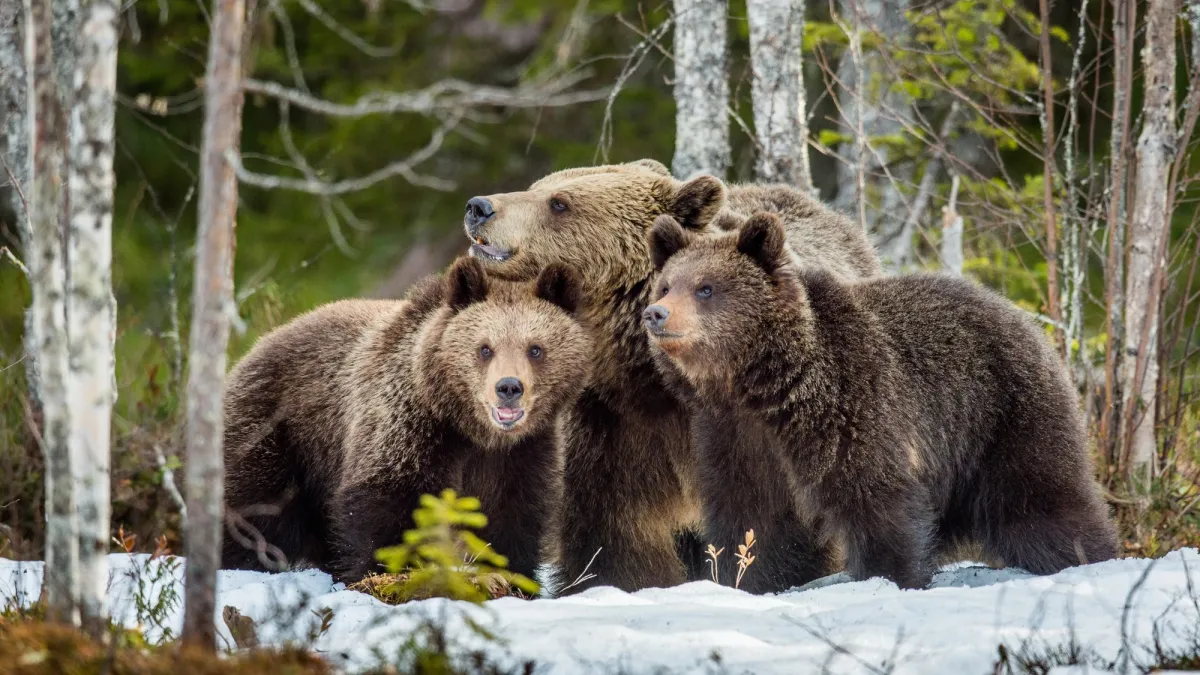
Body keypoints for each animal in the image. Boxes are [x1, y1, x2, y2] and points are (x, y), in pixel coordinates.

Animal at [220, 256, 592, 583]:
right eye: (485, 348)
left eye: (535, 349)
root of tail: (256, 346)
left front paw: (511, 574)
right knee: (251, 508)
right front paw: (389, 570)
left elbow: (512, 513)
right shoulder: (408, 425)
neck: (470, 429)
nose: (509, 388)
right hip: (278, 431)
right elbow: (387, 503)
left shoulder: (522, 452)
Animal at [460, 159, 881, 593]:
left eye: (559, 203)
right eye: (538, 186)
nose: (479, 207)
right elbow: (617, 533)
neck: (649, 378)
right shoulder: (615, 427)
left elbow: (771, 520)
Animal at [643, 211, 1119, 589]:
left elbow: (875, 497)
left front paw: (888, 575)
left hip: (1003, 414)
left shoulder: (850, 405)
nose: (656, 314)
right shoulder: (732, 436)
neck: (762, 387)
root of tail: (1024, 318)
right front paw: (747, 579)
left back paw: (1086, 556)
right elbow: (751, 517)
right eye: (666, 285)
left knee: (1041, 499)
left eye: (705, 288)